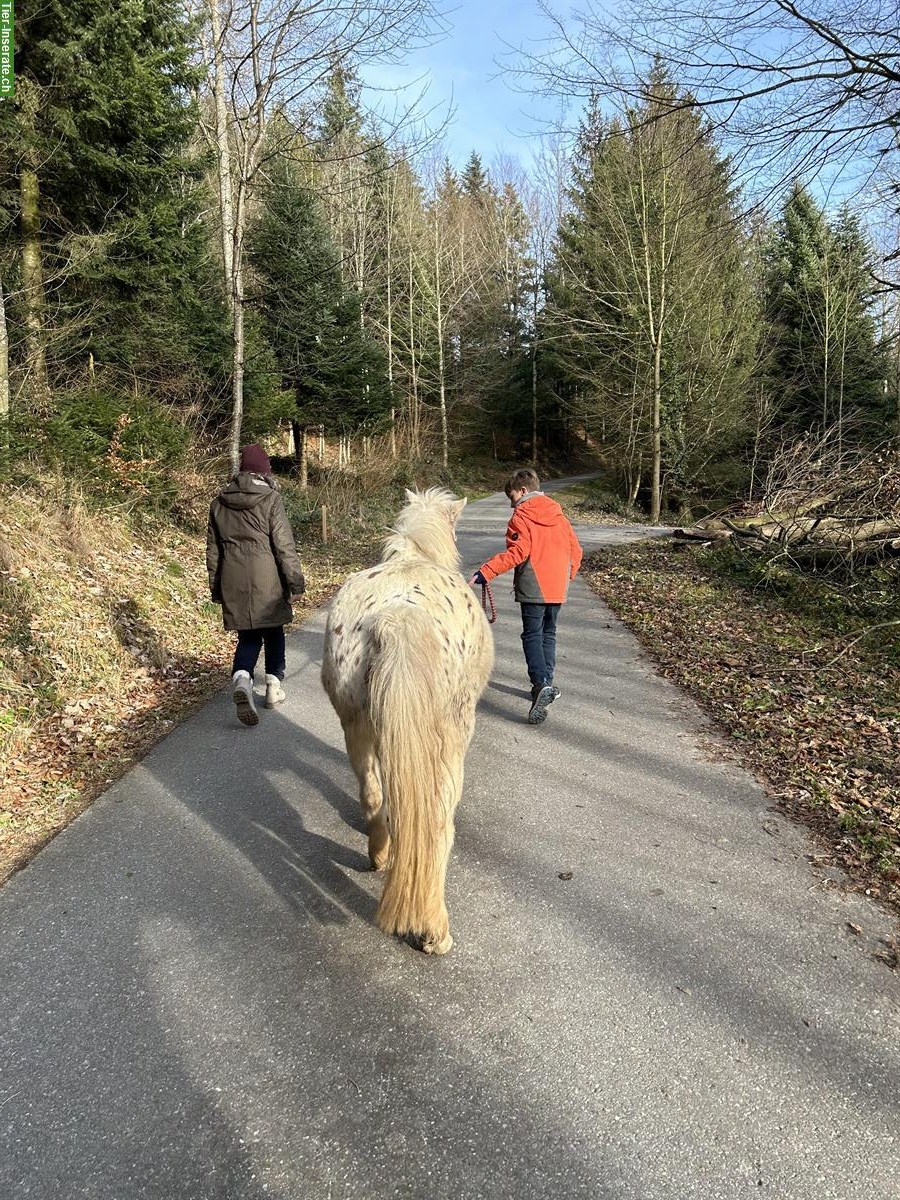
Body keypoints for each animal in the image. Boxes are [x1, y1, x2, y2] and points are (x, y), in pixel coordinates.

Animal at [321, 487, 496, 955]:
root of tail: (395, 618)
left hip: (357, 726)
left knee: (373, 794)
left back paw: (380, 856)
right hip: (451, 737)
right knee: (437, 822)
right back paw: (435, 933)